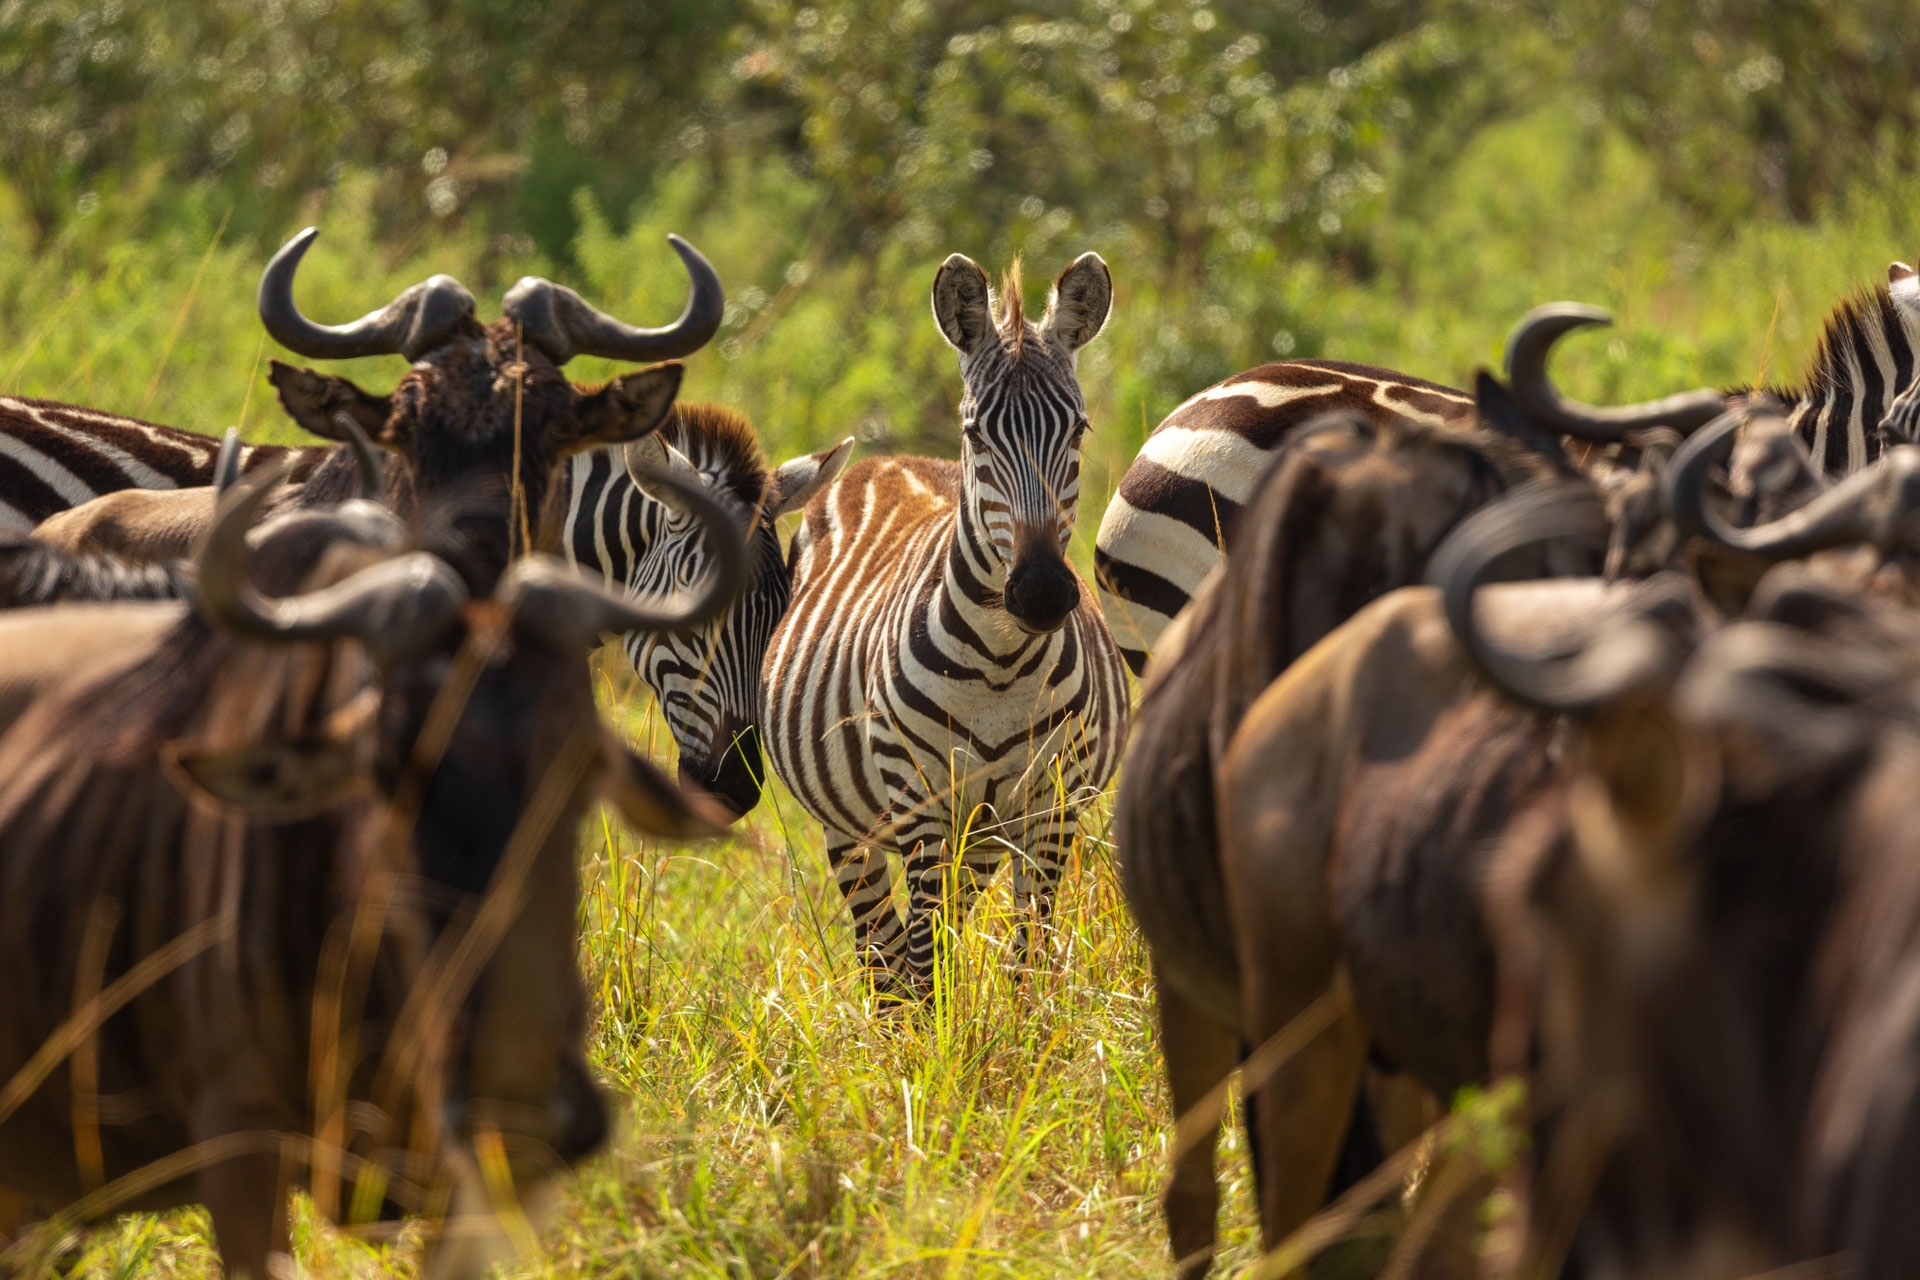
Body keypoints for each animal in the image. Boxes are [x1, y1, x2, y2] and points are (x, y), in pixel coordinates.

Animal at [761, 252, 1131, 998]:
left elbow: (1029, 958)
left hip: (980, 832)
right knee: (882, 951)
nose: (1042, 593)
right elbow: (924, 959)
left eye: (1078, 430)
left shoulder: (1047, 805)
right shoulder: (918, 797)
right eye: (975, 434)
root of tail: (883, 458)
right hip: (852, 823)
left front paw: (1019, 1033)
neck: (1001, 663)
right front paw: (935, 1037)